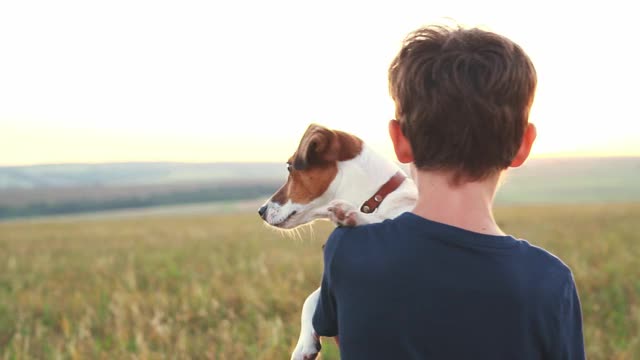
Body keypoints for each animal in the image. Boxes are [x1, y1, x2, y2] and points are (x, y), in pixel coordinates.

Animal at [258, 124, 418, 360]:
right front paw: (303, 346)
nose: (261, 211)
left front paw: (351, 215)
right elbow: (310, 298)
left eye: (289, 168)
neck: (375, 200)